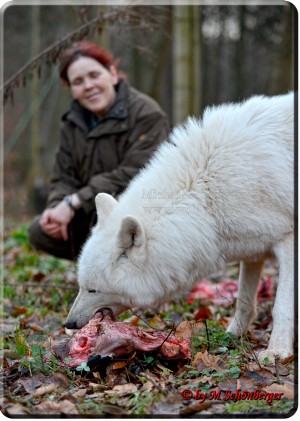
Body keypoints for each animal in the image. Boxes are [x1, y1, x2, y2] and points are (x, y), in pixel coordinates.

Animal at [66, 92, 296, 360]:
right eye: (82, 286)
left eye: (92, 290)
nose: (69, 324)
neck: (206, 197)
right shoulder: (253, 250)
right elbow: (244, 301)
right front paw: (232, 336)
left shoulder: (288, 241)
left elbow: (281, 307)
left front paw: (277, 351)